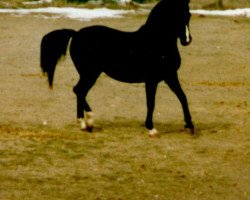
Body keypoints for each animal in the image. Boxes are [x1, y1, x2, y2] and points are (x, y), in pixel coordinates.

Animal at [40, 0, 194, 136]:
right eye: (175, 15)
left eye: (188, 15)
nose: (187, 40)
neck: (156, 43)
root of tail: (76, 33)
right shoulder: (151, 80)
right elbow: (151, 103)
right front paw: (151, 129)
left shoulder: (170, 76)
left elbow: (183, 97)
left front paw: (190, 126)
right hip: (90, 74)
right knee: (78, 90)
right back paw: (89, 120)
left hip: (89, 74)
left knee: (80, 92)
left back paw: (84, 124)